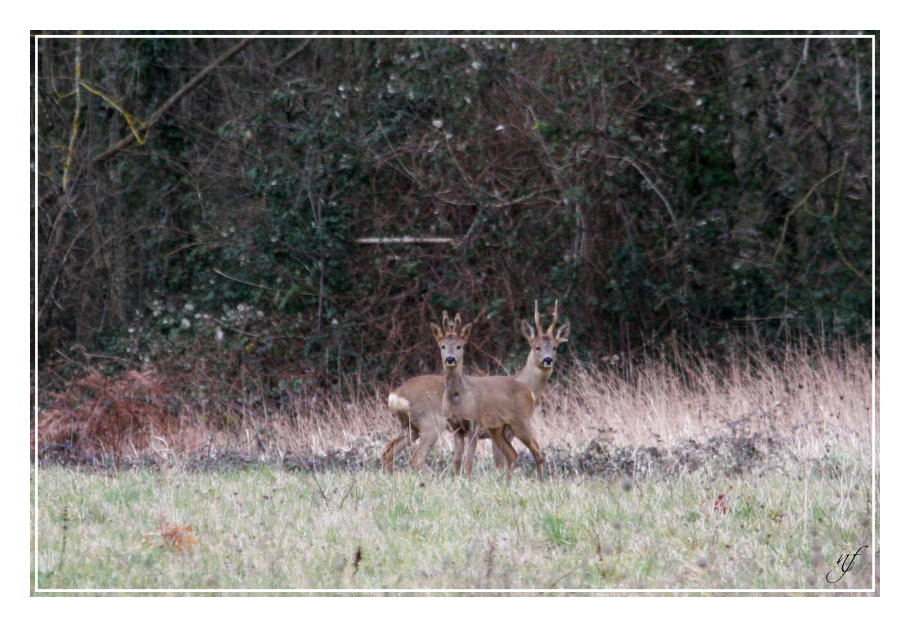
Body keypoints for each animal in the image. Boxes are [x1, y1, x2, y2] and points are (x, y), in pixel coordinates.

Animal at [432, 312, 544, 480]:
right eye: (442, 346)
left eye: (459, 346)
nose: (450, 359)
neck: (458, 398)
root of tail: (530, 392)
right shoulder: (455, 426)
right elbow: (457, 459)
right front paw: (456, 479)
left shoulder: (475, 423)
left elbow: (469, 459)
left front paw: (467, 480)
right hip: (498, 428)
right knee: (512, 454)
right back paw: (507, 482)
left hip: (521, 420)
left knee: (536, 449)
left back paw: (541, 481)